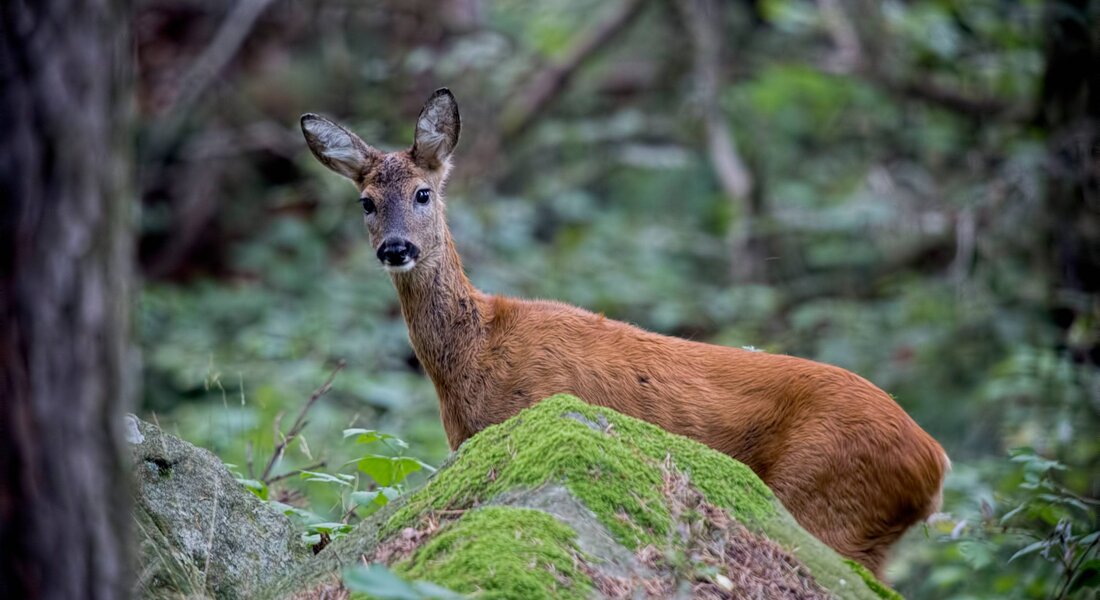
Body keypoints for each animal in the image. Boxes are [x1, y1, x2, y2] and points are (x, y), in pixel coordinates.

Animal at [299, 89, 946, 576]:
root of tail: (934, 461)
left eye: (423, 192)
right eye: (365, 202)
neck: (473, 354)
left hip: (828, 504)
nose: (395, 248)